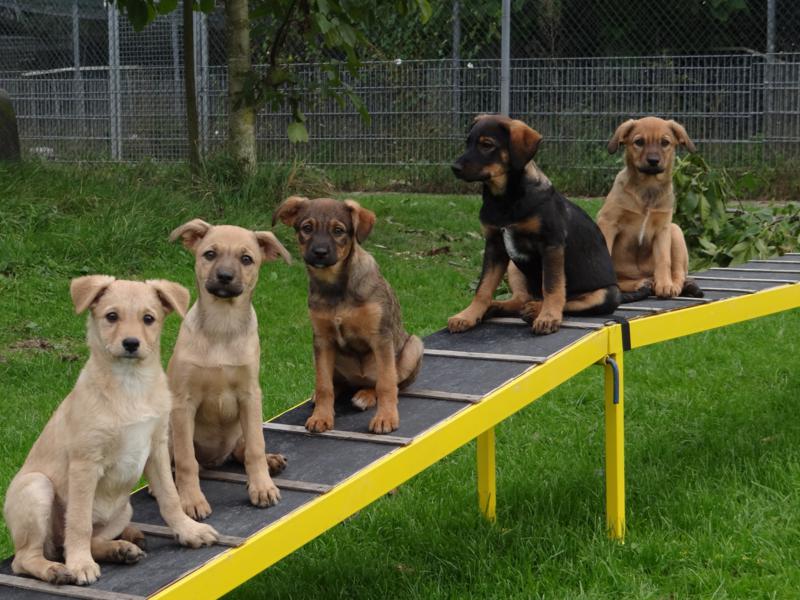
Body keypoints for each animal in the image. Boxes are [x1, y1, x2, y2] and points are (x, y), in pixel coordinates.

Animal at [3, 276, 219, 584]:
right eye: (112, 316)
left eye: (148, 318)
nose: (131, 343)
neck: (130, 383)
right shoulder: (85, 463)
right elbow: (78, 521)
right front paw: (80, 564)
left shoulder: (156, 448)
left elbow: (170, 497)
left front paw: (189, 531)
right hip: (35, 487)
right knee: (27, 558)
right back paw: (57, 569)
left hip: (122, 508)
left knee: (81, 541)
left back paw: (121, 548)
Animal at [168, 219, 290, 520]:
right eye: (209, 254)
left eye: (247, 259)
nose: (224, 276)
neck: (222, 326)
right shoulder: (183, 402)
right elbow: (186, 460)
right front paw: (191, 500)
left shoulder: (250, 395)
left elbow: (256, 446)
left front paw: (262, 488)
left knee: (242, 448)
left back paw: (271, 461)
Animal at [274, 197, 424, 436]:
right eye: (307, 228)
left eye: (338, 230)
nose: (320, 252)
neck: (335, 287)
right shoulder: (322, 340)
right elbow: (324, 384)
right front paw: (321, 417)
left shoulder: (380, 338)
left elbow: (386, 383)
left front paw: (386, 418)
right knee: (337, 383)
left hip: (413, 347)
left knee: (386, 383)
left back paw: (366, 396)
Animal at [446, 115, 620, 336]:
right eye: (467, 142)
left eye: (487, 145)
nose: (455, 168)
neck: (505, 199)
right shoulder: (494, 245)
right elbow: (483, 287)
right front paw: (468, 315)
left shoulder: (551, 244)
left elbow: (553, 286)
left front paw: (548, 317)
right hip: (514, 268)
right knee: (522, 298)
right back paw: (499, 306)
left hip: (608, 294)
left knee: (567, 300)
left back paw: (536, 310)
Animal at [592, 116, 700, 298]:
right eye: (639, 142)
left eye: (665, 142)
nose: (653, 161)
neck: (648, 188)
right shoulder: (608, 223)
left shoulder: (663, 229)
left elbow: (664, 260)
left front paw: (665, 285)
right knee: (622, 280)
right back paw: (640, 283)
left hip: (675, 230)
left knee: (679, 273)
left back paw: (677, 285)